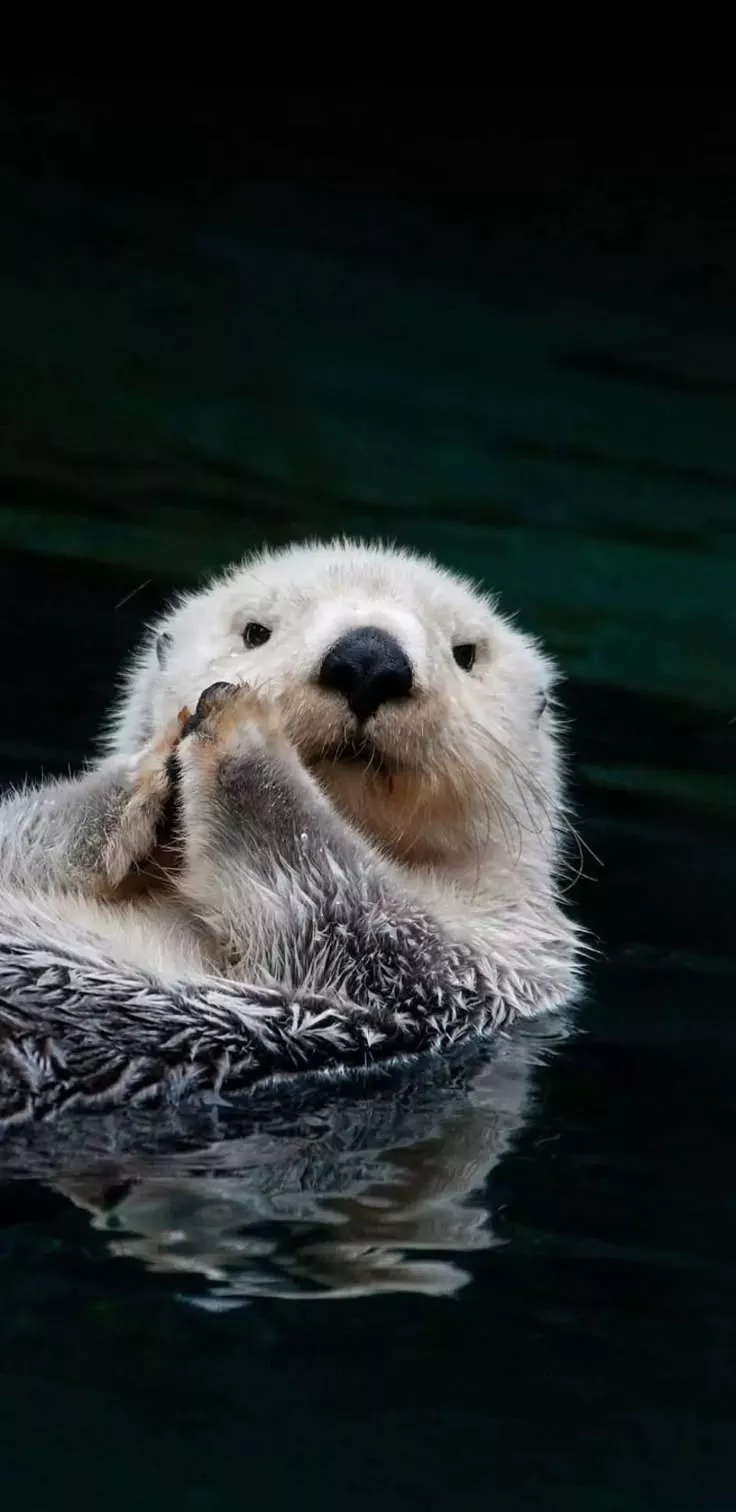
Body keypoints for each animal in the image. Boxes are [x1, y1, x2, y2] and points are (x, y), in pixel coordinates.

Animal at [0, 539, 581, 1130]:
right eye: (256, 630)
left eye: (466, 653)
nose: (369, 660)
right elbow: (25, 830)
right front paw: (151, 762)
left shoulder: (476, 964)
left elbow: (349, 908)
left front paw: (241, 727)